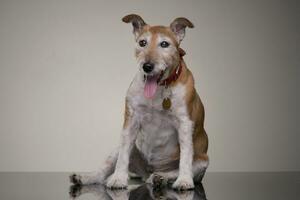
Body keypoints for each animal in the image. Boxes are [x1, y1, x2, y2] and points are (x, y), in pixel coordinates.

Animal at [70, 14, 209, 191]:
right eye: (142, 43)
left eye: (164, 44)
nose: (147, 66)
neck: (160, 89)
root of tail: (147, 172)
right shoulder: (131, 121)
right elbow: (123, 156)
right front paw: (118, 178)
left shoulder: (184, 123)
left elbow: (185, 157)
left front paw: (184, 180)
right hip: (120, 148)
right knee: (104, 171)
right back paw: (85, 177)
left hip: (202, 162)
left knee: (173, 171)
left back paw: (160, 178)